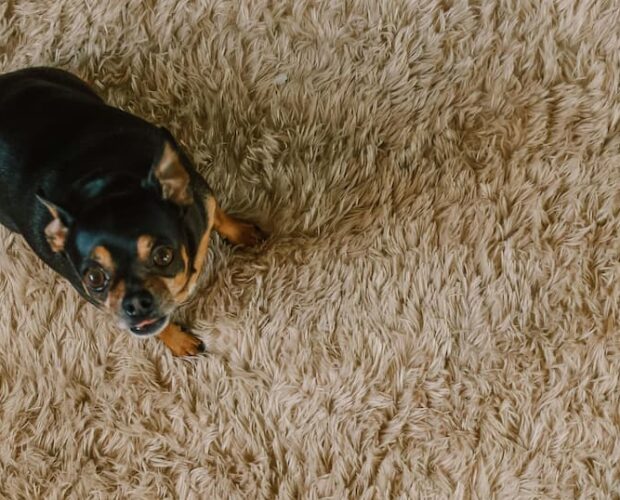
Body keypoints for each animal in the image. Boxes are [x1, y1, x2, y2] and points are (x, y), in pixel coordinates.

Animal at [0, 67, 264, 356]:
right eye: (94, 278)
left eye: (163, 256)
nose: (136, 303)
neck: (108, 186)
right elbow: (158, 330)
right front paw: (179, 341)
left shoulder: (202, 199)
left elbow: (218, 214)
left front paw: (243, 233)